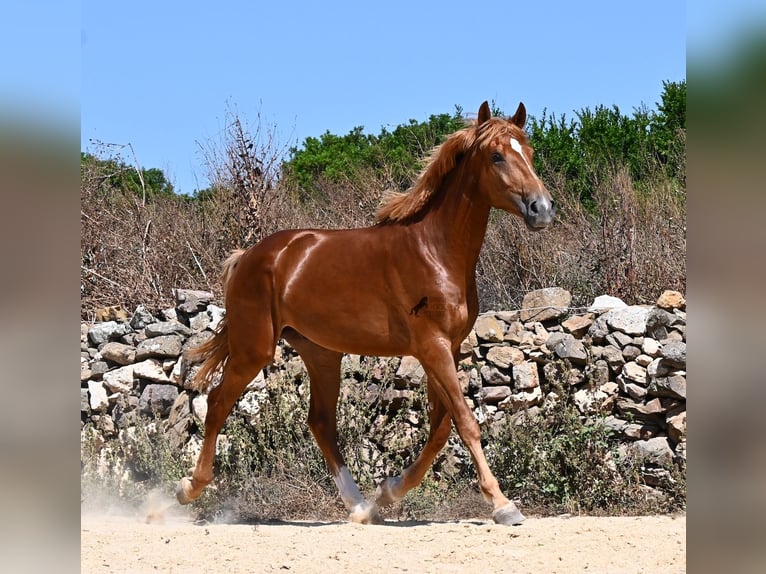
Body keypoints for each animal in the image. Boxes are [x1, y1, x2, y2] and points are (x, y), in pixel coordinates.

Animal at [176, 101, 556, 525]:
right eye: (496, 156)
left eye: (529, 152)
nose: (542, 209)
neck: (435, 250)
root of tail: (249, 256)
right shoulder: (433, 347)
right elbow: (465, 422)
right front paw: (503, 505)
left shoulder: (448, 349)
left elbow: (441, 428)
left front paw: (388, 492)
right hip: (253, 349)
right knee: (217, 404)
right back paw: (188, 488)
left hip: (321, 353)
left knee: (321, 422)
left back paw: (359, 507)